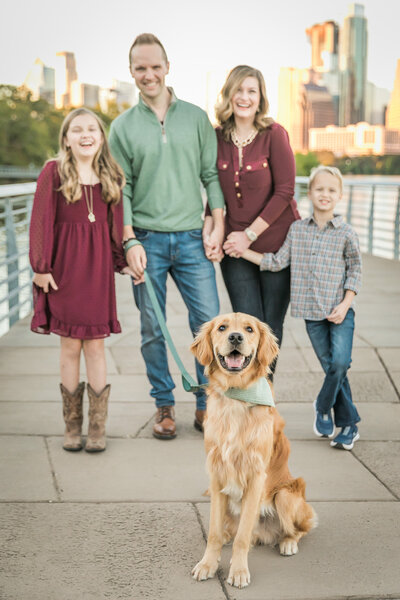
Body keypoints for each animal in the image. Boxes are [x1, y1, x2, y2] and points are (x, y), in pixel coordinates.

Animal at [191, 312, 318, 588]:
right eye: (222, 327)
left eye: (249, 329)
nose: (235, 337)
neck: (236, 397)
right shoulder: (216, 474)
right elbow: (214, 533)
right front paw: (208, 564)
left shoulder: (256, 476)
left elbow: (242, 538)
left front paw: (238, 571)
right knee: (230, 530)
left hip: (286, 495)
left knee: (298, 529)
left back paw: (287, 543)